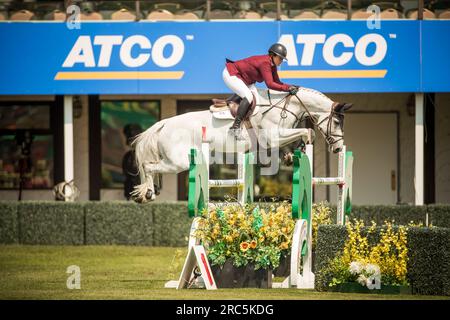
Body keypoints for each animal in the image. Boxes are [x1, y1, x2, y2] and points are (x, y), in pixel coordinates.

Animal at [132, 87, 354, 202]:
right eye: (336, 122)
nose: (337, 148)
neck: (285, 106)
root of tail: (164, 123)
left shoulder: (278, 137)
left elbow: (300, 136)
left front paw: (291, 155)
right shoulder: (274, 136)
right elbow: (307, 132)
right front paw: (300, 148)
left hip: (175, 160)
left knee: (152, 167)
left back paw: (151, 191)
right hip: (179, 162)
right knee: (149, 166)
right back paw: (149, 193)